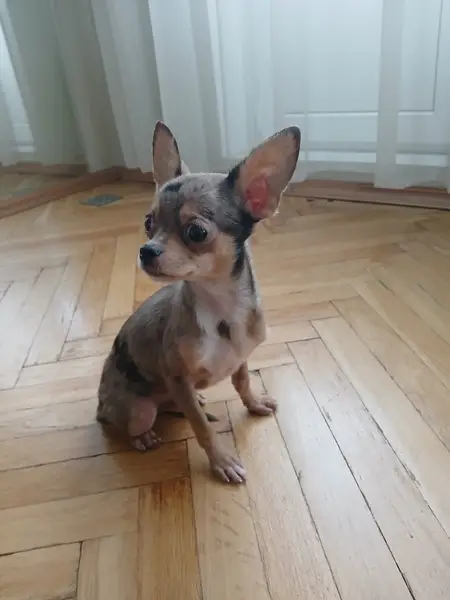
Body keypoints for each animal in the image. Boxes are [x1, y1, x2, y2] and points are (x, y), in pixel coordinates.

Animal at [97, 121, 301, 483]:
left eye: (197, 232)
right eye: (148, 223)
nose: (146, 251)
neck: (221, 308)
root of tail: (99, 405)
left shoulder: (238, 359)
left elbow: (242, 381)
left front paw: (254, 403)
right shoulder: (178, 378)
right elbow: (202, 429)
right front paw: (222, 461)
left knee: (177, 404)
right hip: (138, 409)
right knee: (127, 422)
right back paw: (142, 436)